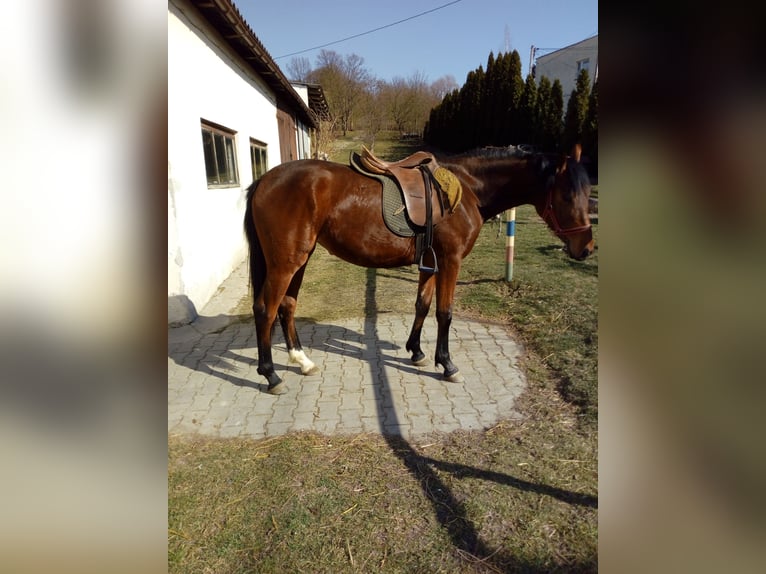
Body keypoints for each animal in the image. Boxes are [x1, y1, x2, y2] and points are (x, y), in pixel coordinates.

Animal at [243, 144, 594, 394]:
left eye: (588, 193)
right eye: (567, 195)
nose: (587, 248)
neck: (469, 190)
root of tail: (264, 180)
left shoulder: (431, 263)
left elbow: (423, 305)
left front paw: (416, 352)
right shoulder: (450, 261)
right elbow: (445, 312)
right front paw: (447, 364)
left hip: (299, 259)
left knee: (287, 306)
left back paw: (301, 361)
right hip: (286, 262)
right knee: (266, 309)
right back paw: (271, 375)